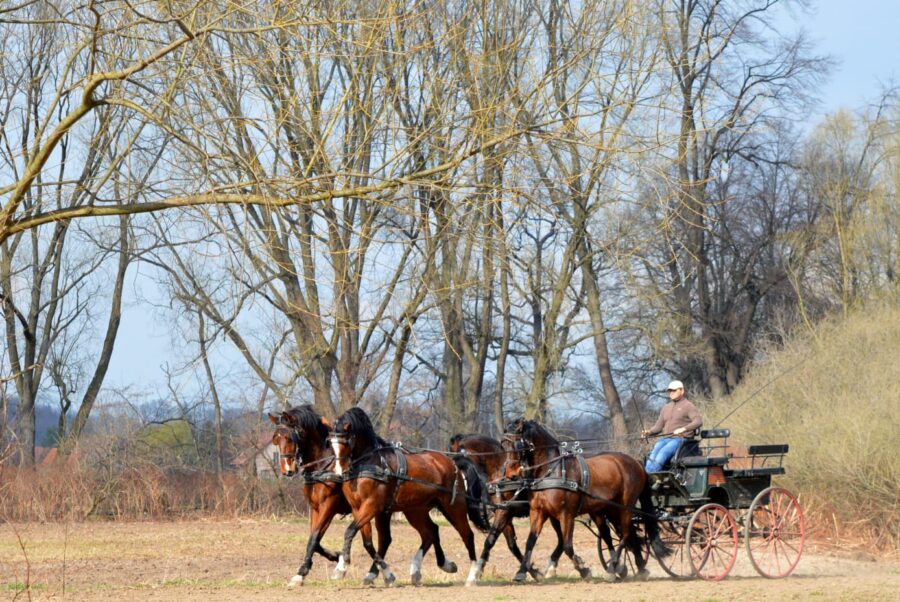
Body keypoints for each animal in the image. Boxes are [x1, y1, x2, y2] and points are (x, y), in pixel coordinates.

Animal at [328, 406, 486, 584]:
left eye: (346, 442)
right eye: (330, 443)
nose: (339, 472)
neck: (370, 464)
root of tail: (452, 461)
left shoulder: (372, 507)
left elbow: (350, 531)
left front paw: (342, 567)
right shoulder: (358, 509)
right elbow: (367, 541)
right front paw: (383, 574)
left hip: (453, 508)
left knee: (467, 535)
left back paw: (472, 576)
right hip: (415, 510)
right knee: (430, 532)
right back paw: (428, 568)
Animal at [448, 432, 568, 580]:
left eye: (459, 463)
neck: (500, 470)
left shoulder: (504, 512)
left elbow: (490, 540)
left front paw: (477, 572)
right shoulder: (504, 512)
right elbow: (511, 545)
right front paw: (532, 571)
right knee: (562, 539)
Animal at [502, 418, 672, 580]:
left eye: (517, 444)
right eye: (503, 445)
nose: (511, 475)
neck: (553, 471)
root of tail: (636, 462)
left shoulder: (566, 515)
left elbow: (567, 546)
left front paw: (583, 569)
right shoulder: (539, 512)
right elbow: (530, 542)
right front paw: (522, 572)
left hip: (625, 507)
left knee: (625, 534)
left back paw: (613, 568)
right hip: (607, 509)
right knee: (619, 534)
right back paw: (638, 568)